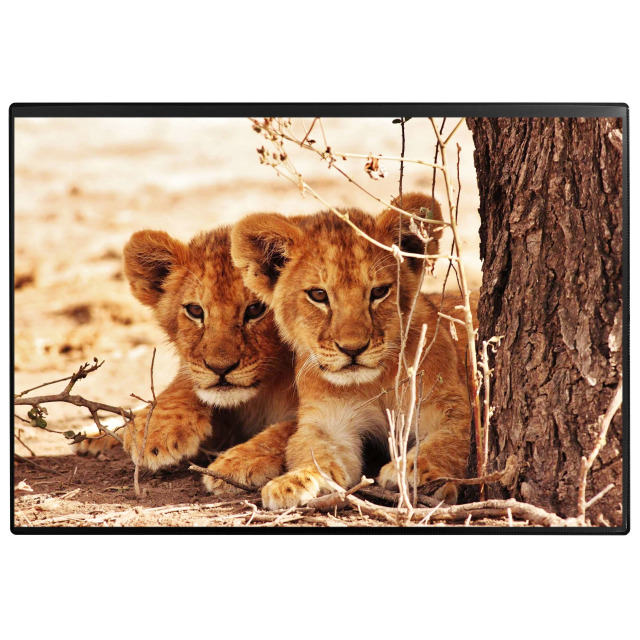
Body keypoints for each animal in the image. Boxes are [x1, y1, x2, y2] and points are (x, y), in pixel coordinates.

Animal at [78, 227, 298, 494]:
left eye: (256, 309)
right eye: (195, 311)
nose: (220, 368)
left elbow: (296, 426)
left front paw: (239, 462)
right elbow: (184, 383)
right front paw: (155, 429)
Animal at [231, 193, 474, 510]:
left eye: (379, 292)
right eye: (318, 295)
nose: (353, 349)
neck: (375, 383)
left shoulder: (452, 406)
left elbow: (448, 441)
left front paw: (411, 470)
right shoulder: (328, 421)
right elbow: (313, 451)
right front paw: (294, 481)